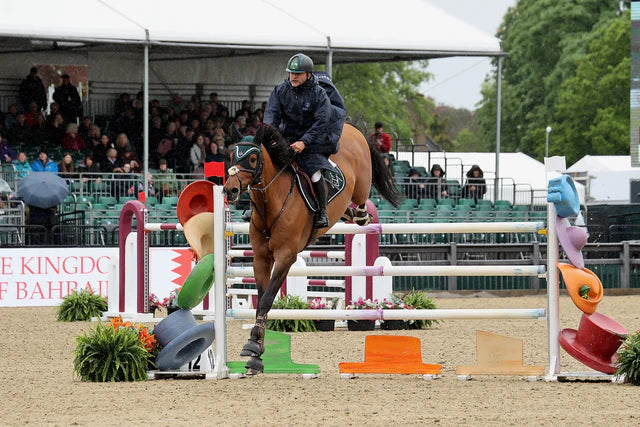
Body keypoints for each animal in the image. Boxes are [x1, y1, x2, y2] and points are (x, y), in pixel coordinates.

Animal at [224, 124, 400, 374]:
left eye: (253, 158)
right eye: (231, 156)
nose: (230, 190)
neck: (273, 201)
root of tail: (351, 128)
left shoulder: (286, 257)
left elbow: (266, 299)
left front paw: (253, 346)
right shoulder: (261, 258)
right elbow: (262, 299)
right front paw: (256, 354)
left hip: (361, 185)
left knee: (362, 201)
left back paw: (360, 214)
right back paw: (349, 213)